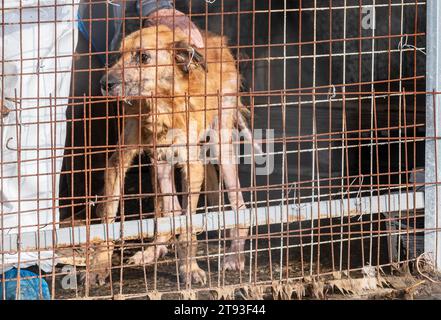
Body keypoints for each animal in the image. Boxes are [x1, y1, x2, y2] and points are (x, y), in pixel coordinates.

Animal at [93, 25, 256, 284]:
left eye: (143, 57)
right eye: (118, 56)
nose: (104, 83)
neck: (162, 104)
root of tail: (217, 40)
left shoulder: (193, 165)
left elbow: (187, 226)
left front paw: (189, 268)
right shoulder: (119, 161)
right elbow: (109, 214)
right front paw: (99, 266)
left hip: (220, 144)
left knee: (239, 205)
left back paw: (235, 256)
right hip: (159, 162)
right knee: (170, 210)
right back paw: (153, 250)